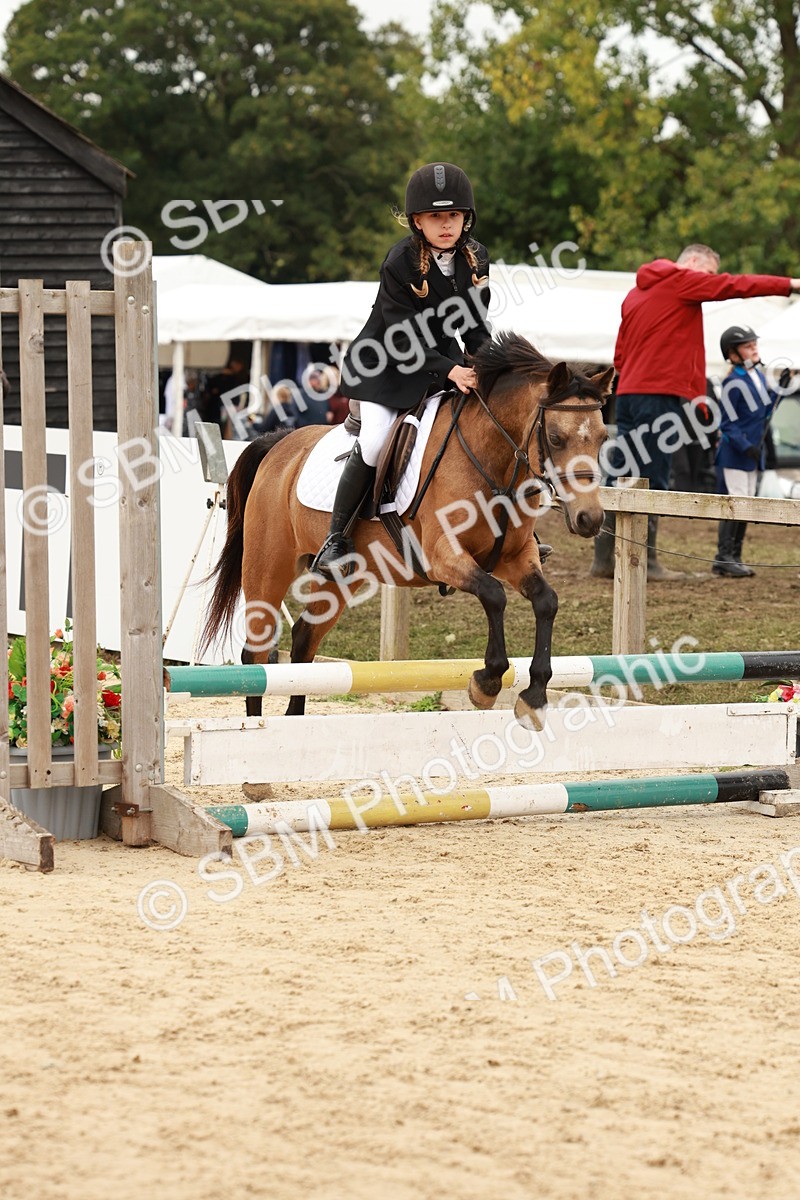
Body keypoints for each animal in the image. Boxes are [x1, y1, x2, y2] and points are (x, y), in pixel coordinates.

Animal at [200, 332, 612, 730]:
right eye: (556, 438)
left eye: (603, 438)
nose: (589, 519)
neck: (491, 459)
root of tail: (279, 443)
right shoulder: (443, 556)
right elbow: (494, 595)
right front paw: (487, 681)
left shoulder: (516, 555)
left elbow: (546, 601)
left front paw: (534, 695)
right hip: (269, 565)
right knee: (256, 650)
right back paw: (254, 727)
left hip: (343, 577)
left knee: (303, 639)